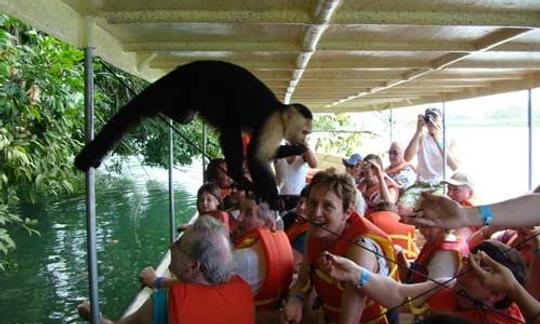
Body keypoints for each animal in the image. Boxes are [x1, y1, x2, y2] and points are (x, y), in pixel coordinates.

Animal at [74, 60, 314, 210]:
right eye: (305, 131)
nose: (303, 140)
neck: (281, 112)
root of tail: (181, 72)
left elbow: (266, 152)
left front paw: (296, 149)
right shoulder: (273, 124)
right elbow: (257, 157)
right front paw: (273, 197)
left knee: (186, 115)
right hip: (201, 88)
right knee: (228, 126)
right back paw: (238, 175)